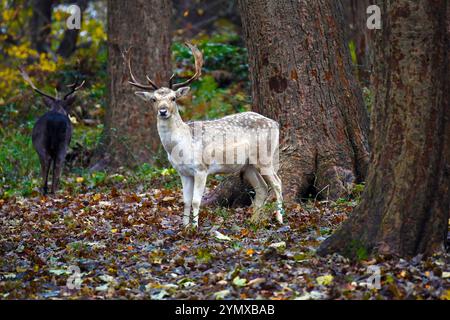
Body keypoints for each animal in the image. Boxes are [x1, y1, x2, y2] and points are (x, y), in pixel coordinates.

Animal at [19, 67, 85, 195]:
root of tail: (54, 123)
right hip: (62, 143)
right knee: (57, 162)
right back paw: (52, 190)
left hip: (44, 143)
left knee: (48, 161)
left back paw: (45, 190)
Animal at [125, 43, 284, 229]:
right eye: (154, 99)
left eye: (173, 98)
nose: (163, 111)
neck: (179, 146)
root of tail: (275, 123)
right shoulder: (183, 172)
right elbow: (185, 200)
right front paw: (184, 227)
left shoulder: (201, 168)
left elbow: (195, 201)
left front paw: (195, 227)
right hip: (248, 164)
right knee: (262, 187)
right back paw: (253, 221)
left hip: (264, 156)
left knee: (277, 183)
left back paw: (279, 219)